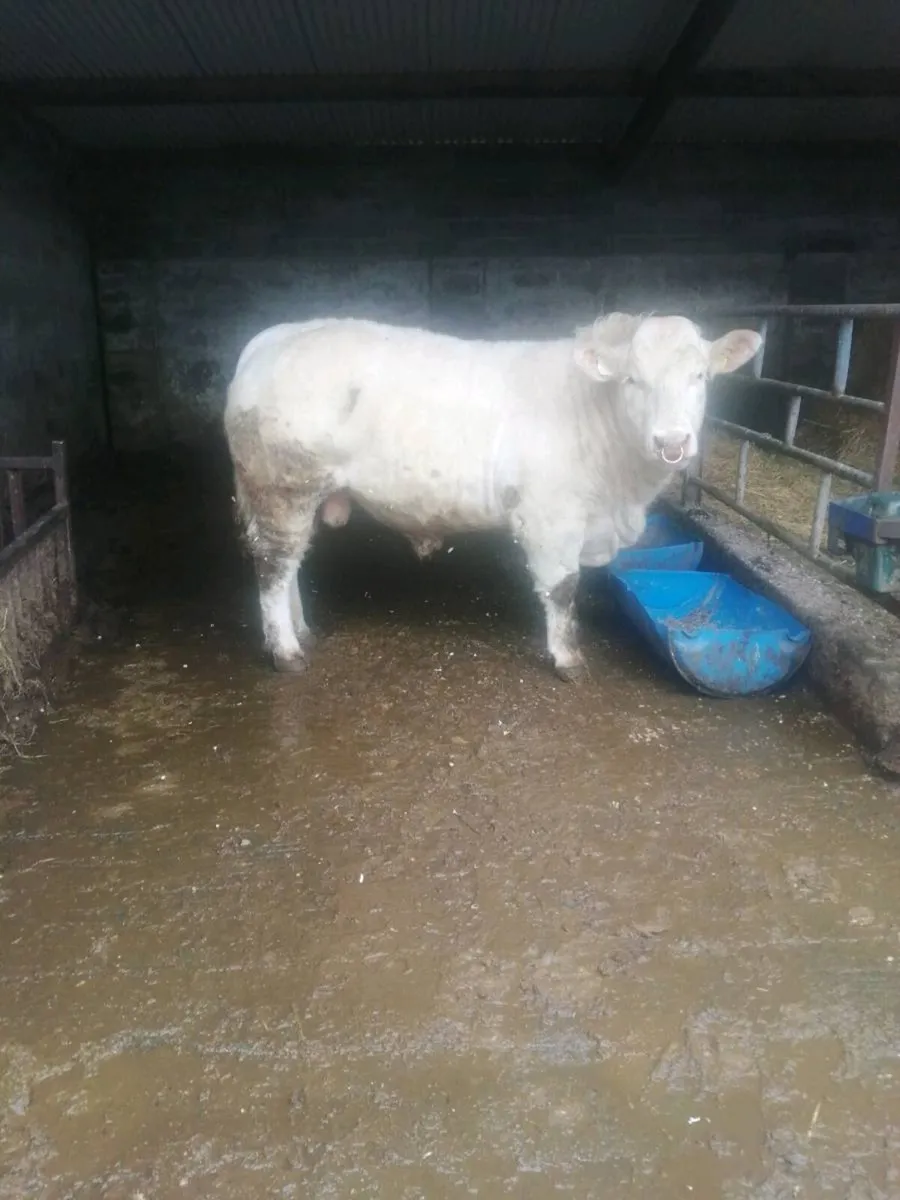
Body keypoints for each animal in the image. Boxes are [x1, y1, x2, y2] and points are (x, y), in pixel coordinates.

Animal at [224, 313, 761, 680]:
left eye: (700, 376)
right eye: (633, 378)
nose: (672, 441)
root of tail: (271, 338)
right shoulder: (551, 517)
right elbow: (563, 588)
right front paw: (567, 657)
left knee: (290, 564)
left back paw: (301, 630)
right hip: (283, 487)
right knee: (273, 568)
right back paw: (285, 650)